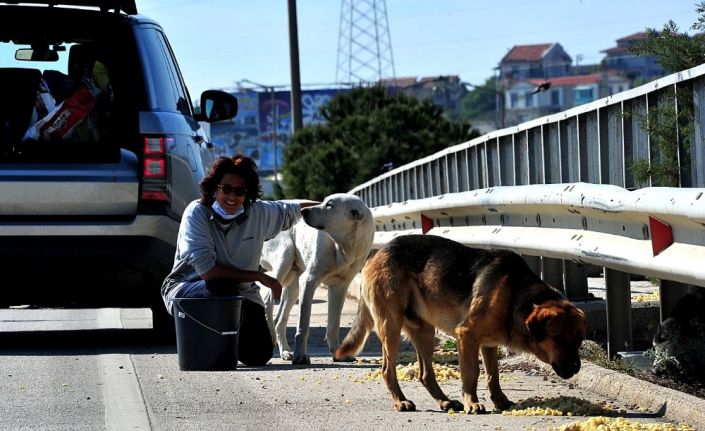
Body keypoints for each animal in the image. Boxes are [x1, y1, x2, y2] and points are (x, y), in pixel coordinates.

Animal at [260, 193, 374, 364]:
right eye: (324, 201)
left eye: (330, 205)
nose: (303, 211)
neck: (343, 245)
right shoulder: (308, 281)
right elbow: (303, 326)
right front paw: (301, 355)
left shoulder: (339, 287)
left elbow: (334, 325)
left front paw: (337, 352)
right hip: (284, 261)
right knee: (267, 297)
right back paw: (273, 339)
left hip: (293, 286)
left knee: (280, 319)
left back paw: (285, 351)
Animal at [332, 236, 584, 416]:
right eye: (558, 338)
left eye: (579, 341)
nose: (575, 367)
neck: (515, 294)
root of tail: (378, 251)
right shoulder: (467, 337)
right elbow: (471, 374)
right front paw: (473, 403)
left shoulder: (489, 345)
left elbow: (493, 375)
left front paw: (500, 400)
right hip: (390, 325)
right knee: (387, 369)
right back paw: (401, 401)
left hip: (425, 331)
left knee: (425, 374)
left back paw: (444, 401)